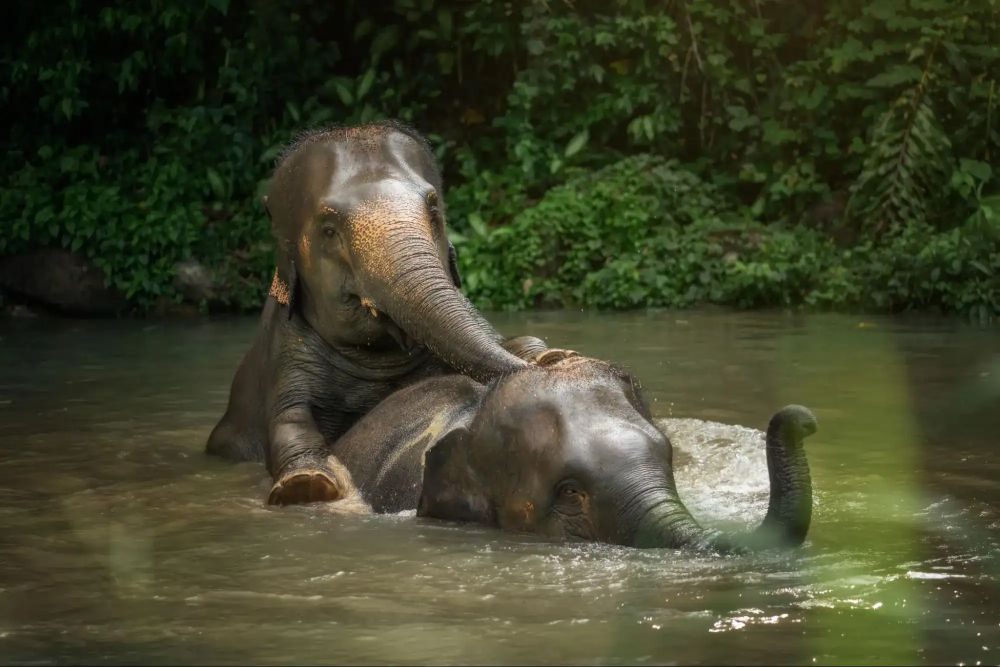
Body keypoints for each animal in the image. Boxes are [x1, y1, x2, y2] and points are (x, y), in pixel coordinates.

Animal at [206, 121, 547, 506]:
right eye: (328, 230)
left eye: (434, 211)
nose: (540, 370)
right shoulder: (286, 352)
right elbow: (289, 418)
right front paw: (305, 483)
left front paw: (549, 354)